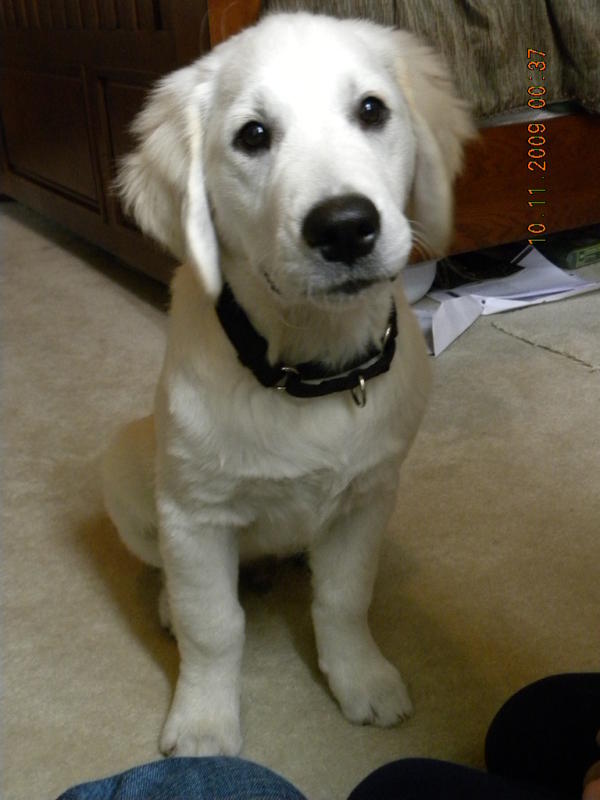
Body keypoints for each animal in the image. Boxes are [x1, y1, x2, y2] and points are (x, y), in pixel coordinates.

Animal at [102, 11, 474, 757]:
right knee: (168, 572)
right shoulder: (194, 514)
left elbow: (344, 598)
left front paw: (361, 678)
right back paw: (167, 603)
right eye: (253, 135)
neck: (311, 366)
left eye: (372, 110)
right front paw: (204, 721)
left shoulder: (368, 497)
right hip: (128, 465)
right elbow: (214, 626)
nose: (346, 227)